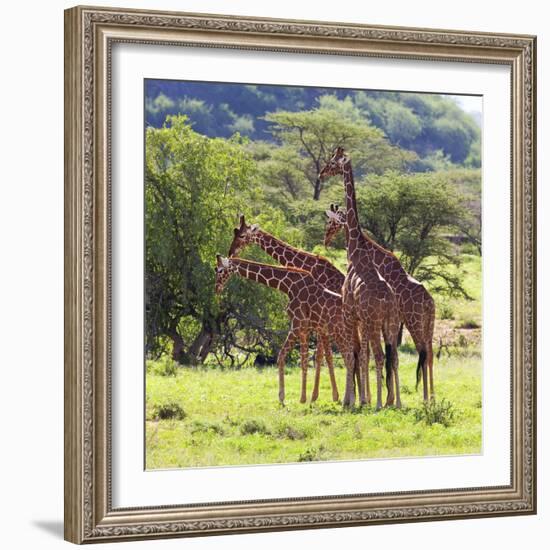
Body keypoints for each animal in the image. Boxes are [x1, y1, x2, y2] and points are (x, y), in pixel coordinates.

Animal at [213, 256, 360, 408]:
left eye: (219, 270)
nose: (217, 288)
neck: (288, 286)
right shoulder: (304, 329)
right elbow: (303, 360)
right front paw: (304, 398)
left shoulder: (297, 325)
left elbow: (283, 356)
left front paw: (284, 398)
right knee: (351, 358)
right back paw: (349, 400)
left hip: (339, 332)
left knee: (349, 358)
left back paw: (348, 401)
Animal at [229, 216, 344, 402]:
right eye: (234, 233)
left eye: (242, 236)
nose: (231, 252)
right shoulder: (317, 322)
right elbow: (320, 355)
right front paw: (317, 395)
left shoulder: (318, 321)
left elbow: (322, 355)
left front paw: (318, 396)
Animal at [320, 149, 402, 412]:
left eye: (332, 162)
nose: (321, 173)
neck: (356, 252)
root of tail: (388, 302)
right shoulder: (361, 319)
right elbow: (360, 355)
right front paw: (359, 399)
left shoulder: (349, 312)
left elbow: (353, 354)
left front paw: (351, 400)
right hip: (390, 323)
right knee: (393, 358)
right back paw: (397, 403)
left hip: (374, 323)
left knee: (378, 356)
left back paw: (377, 404)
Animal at [326, 203, 438, 402]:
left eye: (331, 220)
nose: (326, 238)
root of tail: (429, 302)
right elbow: (385, 355)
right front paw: (385, 399)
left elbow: (372, 354)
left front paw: (378, 399)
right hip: (428, 324)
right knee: (430, 354)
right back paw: (431, 397)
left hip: (414, 322)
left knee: (422, 353)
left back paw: (425, 398)